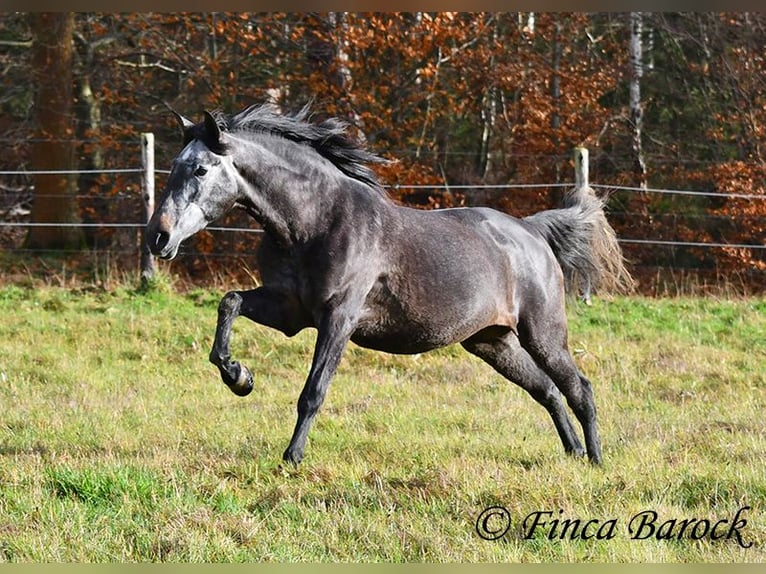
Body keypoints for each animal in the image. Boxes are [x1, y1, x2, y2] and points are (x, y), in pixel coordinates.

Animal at [147, 104, 632, 468]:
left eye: (201, 169)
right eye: (173, 166)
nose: (158, 237)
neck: (315, 221)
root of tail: (532, 231)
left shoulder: (338, 318)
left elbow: (313, 392)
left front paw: (292, 457)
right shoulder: (289, 311)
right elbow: (228, 304)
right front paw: (239, 377)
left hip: (542, 333)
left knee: (579, 387)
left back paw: (595, 461)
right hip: (492, 342)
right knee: (547, 390)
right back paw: (572, 453)